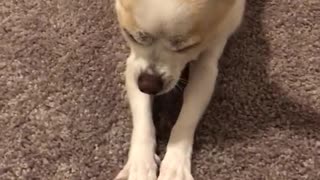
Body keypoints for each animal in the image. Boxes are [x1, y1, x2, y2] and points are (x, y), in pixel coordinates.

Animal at [114, 0, 245, 179]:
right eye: (132, 37)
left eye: (186, 47)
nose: (149, 85)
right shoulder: (134, 66)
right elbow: (143, 119)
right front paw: (141, 163)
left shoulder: (207, 65)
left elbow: (187, 117)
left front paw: (175, 164)